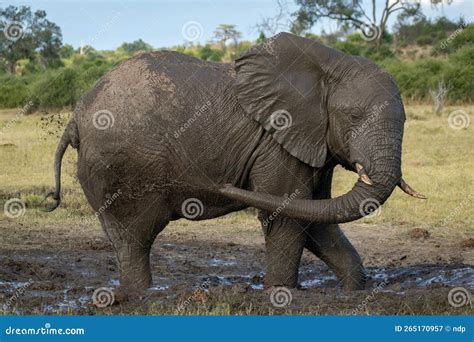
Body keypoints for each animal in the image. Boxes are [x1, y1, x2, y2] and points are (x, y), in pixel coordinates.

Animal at [47, 32, 426, 294]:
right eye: (354, 116)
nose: (224, 182)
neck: (329, 66)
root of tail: (76, 118)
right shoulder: (277, 140)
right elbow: (287, 212)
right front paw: (280, 294)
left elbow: (315, 214)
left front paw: (353, 290)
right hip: (121, 168)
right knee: (135, 237)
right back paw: (141, 294)